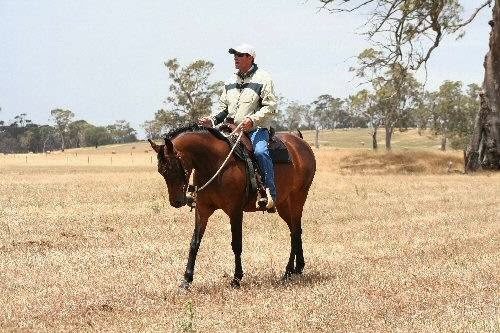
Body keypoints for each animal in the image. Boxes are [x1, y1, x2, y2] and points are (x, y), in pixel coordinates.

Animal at [146, 124, 314, 288]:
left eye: (173, 168)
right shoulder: (202, 210)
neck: (214, 162)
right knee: (294, 230)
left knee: (296, 231)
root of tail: (300, 141)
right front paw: (186, 279)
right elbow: (194, 243)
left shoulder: (235, 211)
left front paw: (236, 278)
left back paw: (290, 270)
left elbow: (236, 244)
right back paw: (295, 269)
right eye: (161, 171)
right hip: (283, 204)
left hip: (298, 198)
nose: (176, 202)